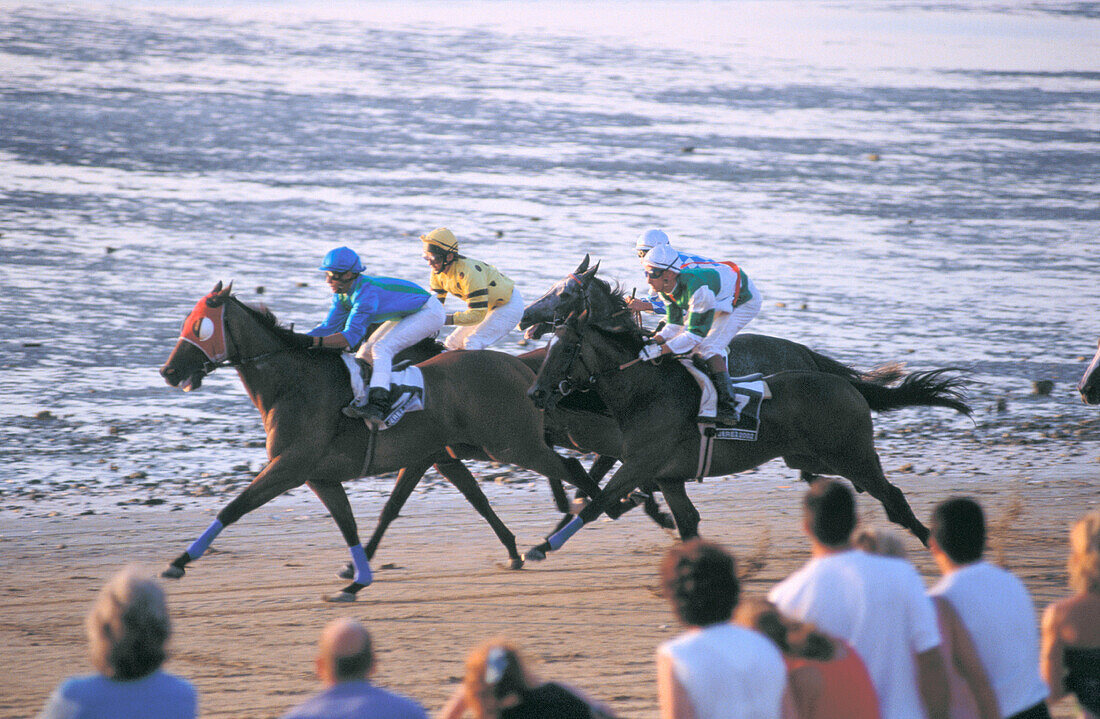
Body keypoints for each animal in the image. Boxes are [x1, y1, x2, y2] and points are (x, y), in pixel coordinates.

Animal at [158, 281, 598, 602]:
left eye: (200, 326)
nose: (168, 371)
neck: (295, 386)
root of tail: (519, 369)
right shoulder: (325, 475)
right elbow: (355, 523)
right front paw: (355, 579)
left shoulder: (290, 466)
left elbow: (235, 507)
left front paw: (178, 561)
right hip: (494, 445)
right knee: (566, 470)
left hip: (511, 445)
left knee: (574, 468)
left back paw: (582, 519)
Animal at [523, 281, 972, 562]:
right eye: (551, 345)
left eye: (568, 349)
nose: (536, 394)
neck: (646, 390)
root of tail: (845, 383)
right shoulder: (667, 476)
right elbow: (686, 523)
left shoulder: (638, 464)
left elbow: (596, 502)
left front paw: (541, 547)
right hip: (811, 457)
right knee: (865, 490)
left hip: (850, 455)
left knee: (892, 497)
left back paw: (934, 545)